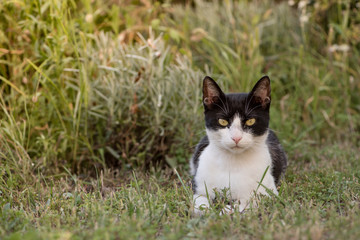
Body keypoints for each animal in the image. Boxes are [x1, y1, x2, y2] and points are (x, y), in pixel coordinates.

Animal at [191, 76, 286, 215]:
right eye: (222, 121)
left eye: (250, 121)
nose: (236, 137)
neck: (233, 163)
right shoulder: (199, 186)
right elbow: (199, 203)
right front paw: (208, 211)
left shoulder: (268, 191)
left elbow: (251, 200)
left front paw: (226, 211)